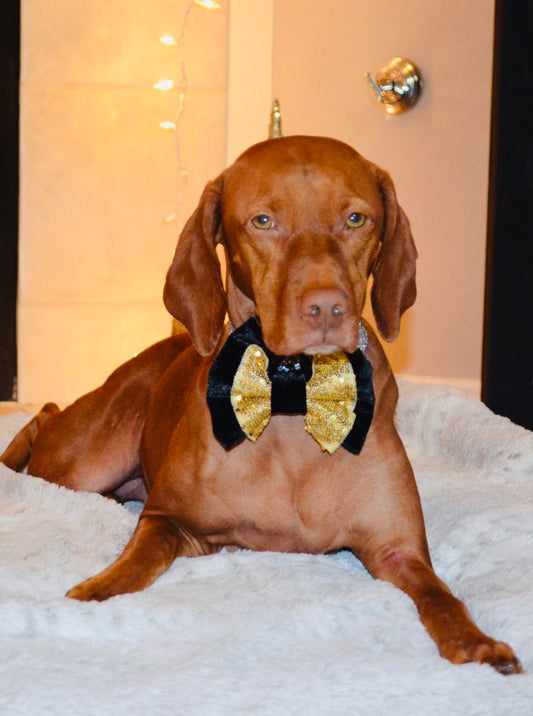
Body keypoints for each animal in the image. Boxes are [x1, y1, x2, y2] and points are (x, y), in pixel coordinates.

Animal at [1, 137, 520, 676]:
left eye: (356, 219)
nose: (327, 308)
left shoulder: (397, 550)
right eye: (263, 221)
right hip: (82, 464)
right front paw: (96, 592)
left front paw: (478, 643)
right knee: (45, 417)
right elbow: (137, 561)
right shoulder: (169, 520)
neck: (293, 395)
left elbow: (441, 596)